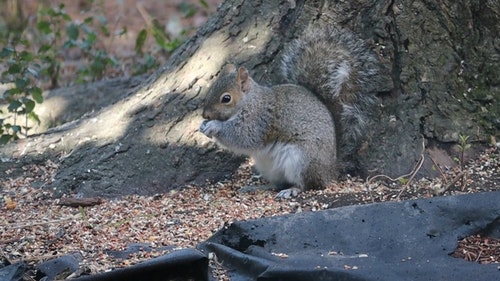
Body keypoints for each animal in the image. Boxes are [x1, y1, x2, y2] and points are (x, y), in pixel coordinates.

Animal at [197, 26, 380, 197]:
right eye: (210, 90)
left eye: (226, 98)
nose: (205, 115)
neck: (250, 102)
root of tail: (331, 168)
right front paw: (203, 125)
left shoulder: (259, 119)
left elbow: (242, 137)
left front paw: (213, 126)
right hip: (270, 167)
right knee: (278, 183)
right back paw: (259, 187)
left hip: (302, 160)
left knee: (309, 185)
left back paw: (292, 190)